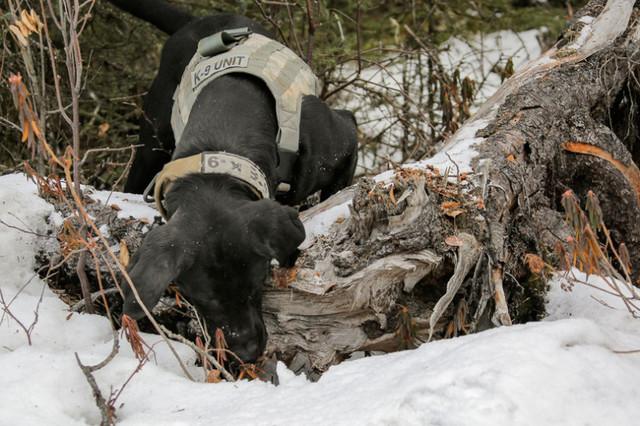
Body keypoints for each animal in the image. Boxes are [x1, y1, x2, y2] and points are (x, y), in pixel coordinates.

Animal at [110, 0, 360, 362]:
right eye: (200, 298)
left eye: (256, 285)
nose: (247, 352)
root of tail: (197, 20)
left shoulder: (335, 139)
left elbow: (344, 157)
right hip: (150, 141)